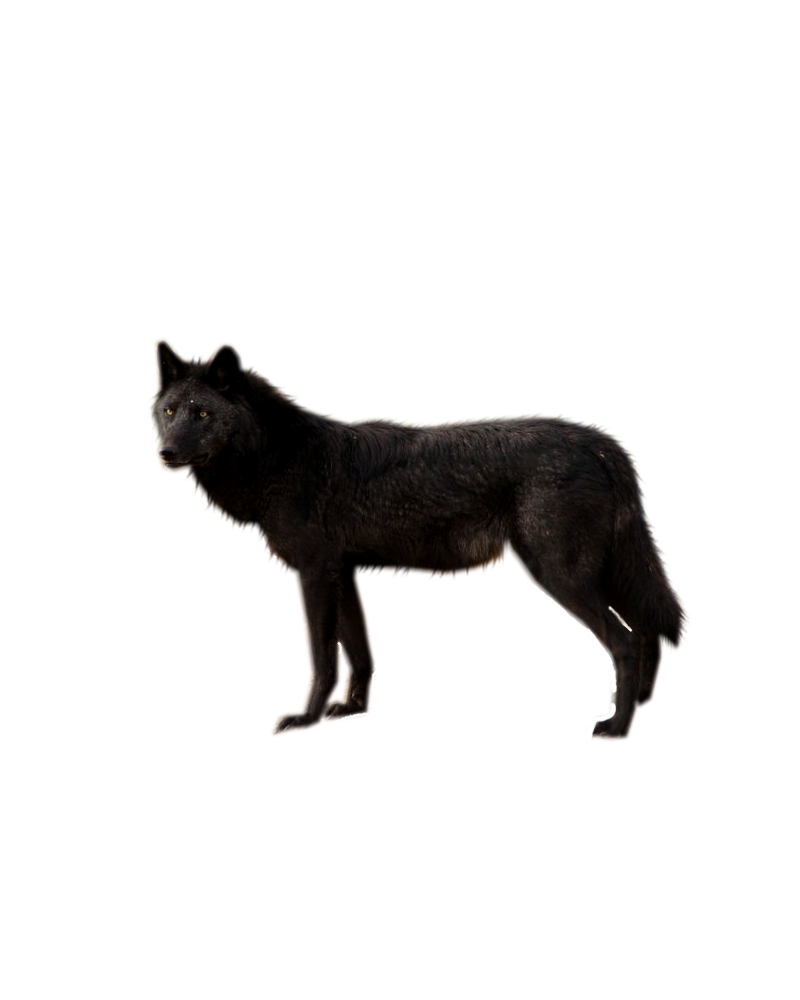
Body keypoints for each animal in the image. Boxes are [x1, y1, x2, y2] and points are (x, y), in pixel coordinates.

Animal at [149, 339, 689, 741]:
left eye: (202, 415)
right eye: (170, 411)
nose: (166, 452)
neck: (280, 455)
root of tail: (602, 440)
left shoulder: (313, 575)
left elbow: (322, 660)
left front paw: (305, 719)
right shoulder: (343, 574)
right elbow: (359, 654)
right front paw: (349, 711)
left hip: (559, 576)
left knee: (628, 641)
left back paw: (615, 727)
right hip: (599, 573)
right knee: (648, 634)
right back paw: (634, 705)